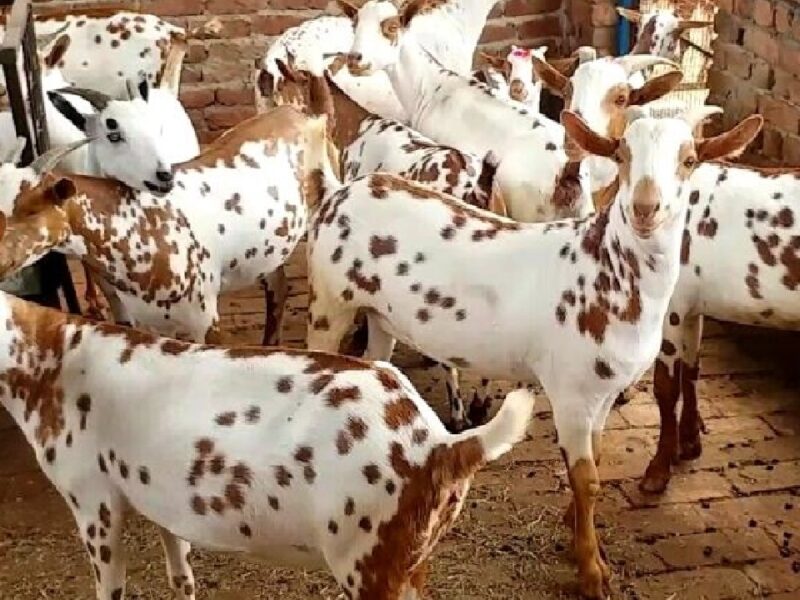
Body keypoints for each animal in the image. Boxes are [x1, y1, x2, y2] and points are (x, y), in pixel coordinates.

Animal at [0, 269, 535, 599]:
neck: (52, 361)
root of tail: (443, 445)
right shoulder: (154, 496)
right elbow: (180, 571)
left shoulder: (93, 502)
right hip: (410, 558)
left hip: (366, 563)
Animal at [305, 104, 762, 597]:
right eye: (622, 155)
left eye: (690, 159)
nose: (645, 208)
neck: (608, 274)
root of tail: (339, 192)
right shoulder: (571, 392)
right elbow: (587, 479)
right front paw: (591, 570)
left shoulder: (603, 393)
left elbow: (597, 459)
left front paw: (576, 530)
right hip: (329, 302)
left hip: (378, 316)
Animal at [343, 0, 588, 223]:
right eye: (354, 24)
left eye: (392, 27)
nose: (355, 59)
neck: (428, 87)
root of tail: (565, 172)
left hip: (529, 208)